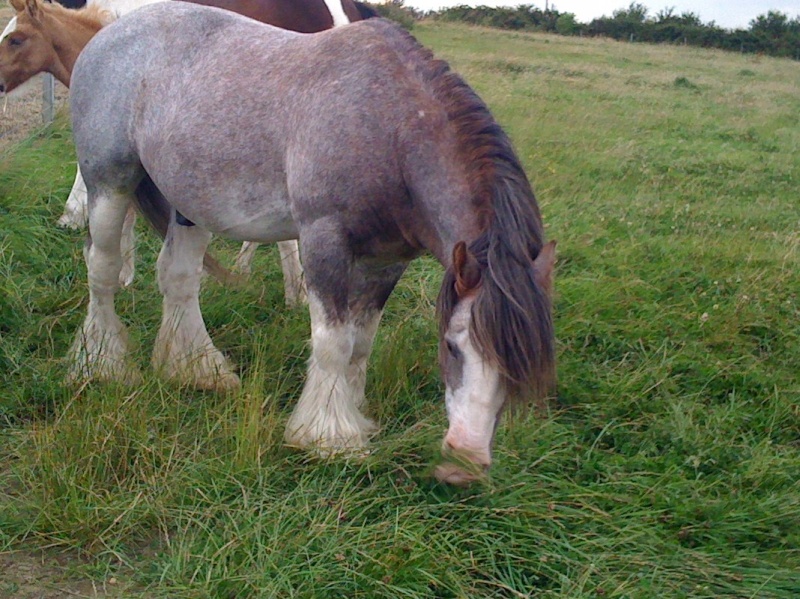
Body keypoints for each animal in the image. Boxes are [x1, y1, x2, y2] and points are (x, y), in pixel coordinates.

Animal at [69, 2, 556, 486]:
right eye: (452, 346)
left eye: (519, 369)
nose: (465, 463)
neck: (387, 126)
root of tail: (109, 32)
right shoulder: (324, 241)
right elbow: (333, 342)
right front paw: (327, 436)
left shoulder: (387, 261)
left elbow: (361, 342)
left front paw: (354, 412)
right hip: (109, 184)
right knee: (102, 268)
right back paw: (103, 364)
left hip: (189, 204)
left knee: (179, 278)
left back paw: (194, 369)